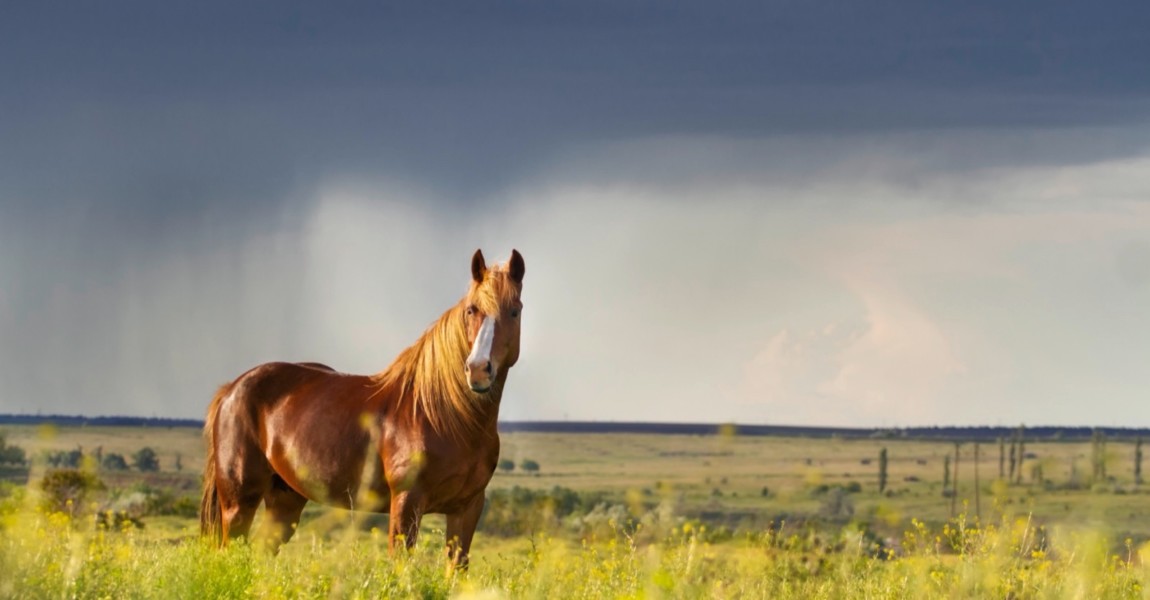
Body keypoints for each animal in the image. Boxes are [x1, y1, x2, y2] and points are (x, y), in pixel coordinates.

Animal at [201, 247, 526, 565]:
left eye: (515, 310)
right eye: (472, 310)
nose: (478, 371)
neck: (448, 418)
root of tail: (231, 390)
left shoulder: (467, 508)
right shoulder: (406, 501)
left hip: (285, 500)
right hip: (239, 503)